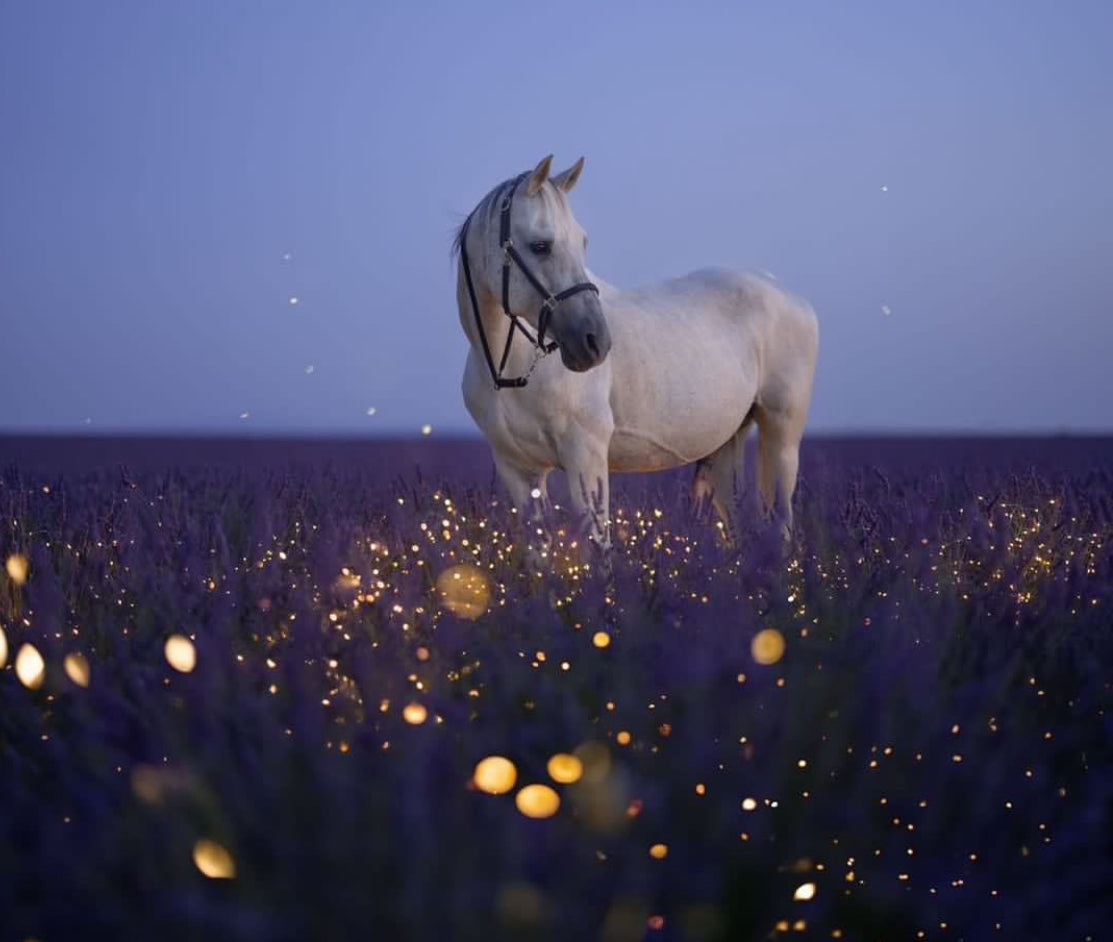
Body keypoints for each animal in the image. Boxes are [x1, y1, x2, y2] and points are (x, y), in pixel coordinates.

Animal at [453, 154, 818, 563]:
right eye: (541, 245)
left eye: (582, 242)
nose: (595, 342)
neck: (510, 370)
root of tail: (784, 291)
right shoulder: (518, 472)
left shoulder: (586, 459)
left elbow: (598, 553)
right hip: (727, 444)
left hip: (781, 436)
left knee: (782, 523)